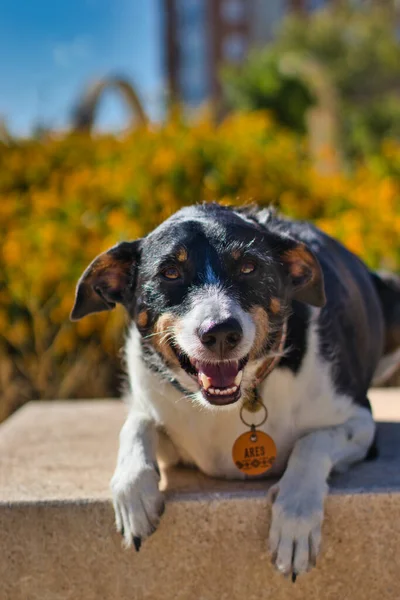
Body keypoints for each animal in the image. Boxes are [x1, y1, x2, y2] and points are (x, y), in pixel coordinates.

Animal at [70, 204, 400, 580]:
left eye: (248, 267)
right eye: (170, 272)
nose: (220, 333)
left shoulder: (361, 422)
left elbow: (312, 442)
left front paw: (295, 517)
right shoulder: (154, 404)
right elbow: (137, 425)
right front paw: (133, 492)